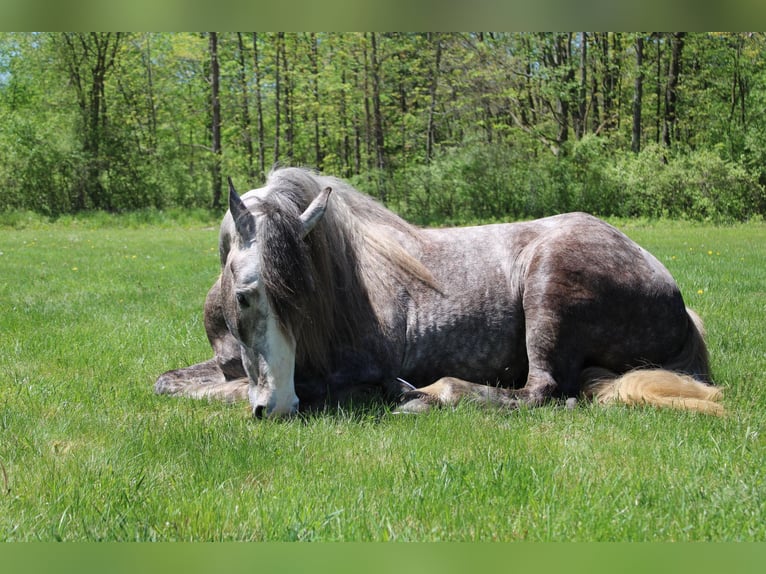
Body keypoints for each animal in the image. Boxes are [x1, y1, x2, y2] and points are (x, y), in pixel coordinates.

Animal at [156, 166, 728, 418]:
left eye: (305, 303)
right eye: (245, 296)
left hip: (549, 290)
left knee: (541, 391)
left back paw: (426, 395)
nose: (276, 406)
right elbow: (167, 382)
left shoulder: (350, 368)